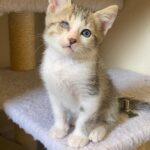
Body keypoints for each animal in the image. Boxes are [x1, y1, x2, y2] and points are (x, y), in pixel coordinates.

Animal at [40, 0, 119, 148]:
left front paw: (79, 137)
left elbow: (85, 118)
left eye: (86, 33)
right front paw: (60, 128)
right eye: (64, 24)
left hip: (111, 101)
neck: (66, 63)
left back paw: (97, 130)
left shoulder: (91, 92)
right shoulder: (53, 89)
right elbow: (58, 111)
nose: (72, 39)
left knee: (108, 121)